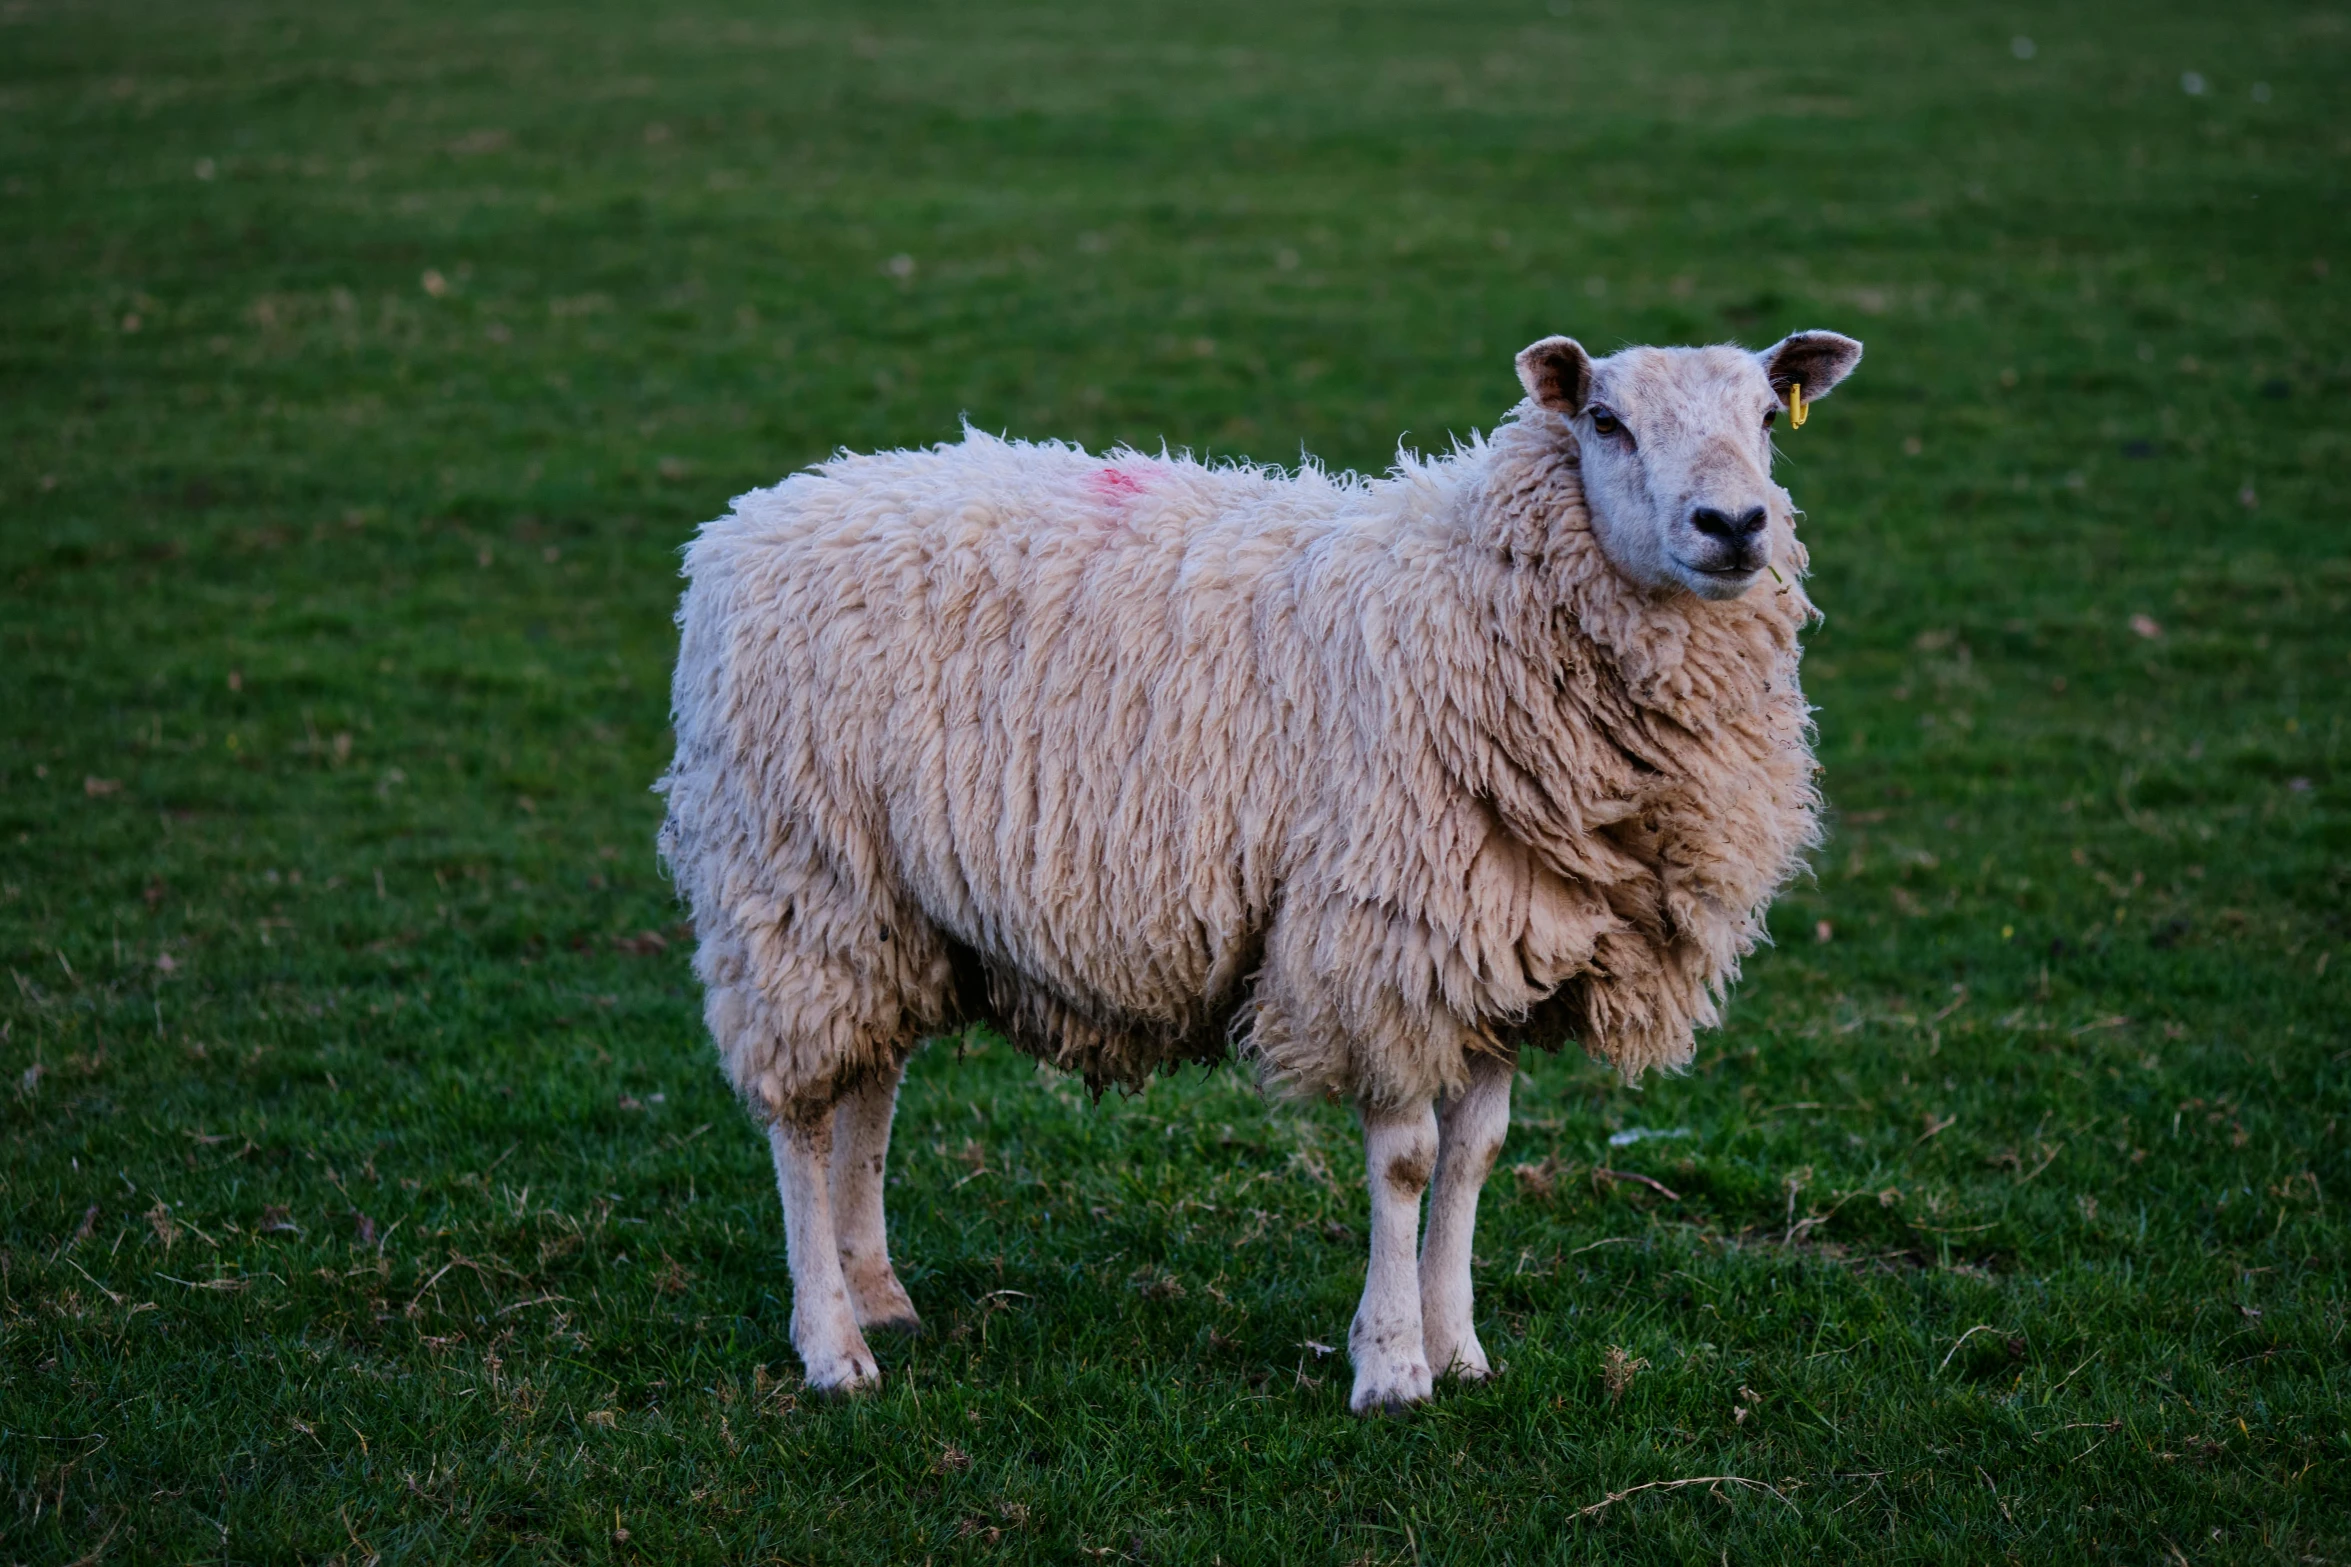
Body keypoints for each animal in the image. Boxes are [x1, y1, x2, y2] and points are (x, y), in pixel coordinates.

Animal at [667, 331, 1871, 1409]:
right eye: (1606, 421)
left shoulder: (1507, 942)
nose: (1734, 525)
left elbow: (1474, 1156)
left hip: (890, 906)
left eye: (1767, 421)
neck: (1477, 599)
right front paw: (1391, 1368)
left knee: (868, 1089)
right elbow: (1405, 1161)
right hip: (792, 872)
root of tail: (748, 521)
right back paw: (831, 1347)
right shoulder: (1385, 938)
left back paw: (878, 1296)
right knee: (801, 1114)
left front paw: (1460, 1349)